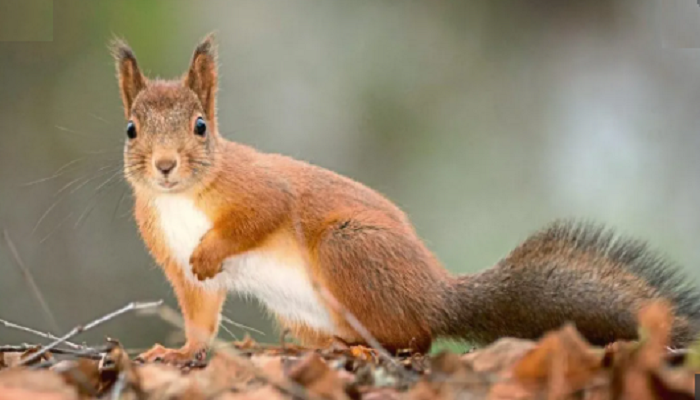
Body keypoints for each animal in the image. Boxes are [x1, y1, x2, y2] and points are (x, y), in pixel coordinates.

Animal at [110, 34, 700, 363]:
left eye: (201, 126)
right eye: (132, 129)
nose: (165, 166)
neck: (180, 201)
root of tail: (435, 294)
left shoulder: (258, 187)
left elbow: (263, 213)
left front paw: (212, 252)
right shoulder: (173, 259)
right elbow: (199, 312)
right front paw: (180, 350)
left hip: (350, 250)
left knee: (415, 339)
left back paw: (363, 346)